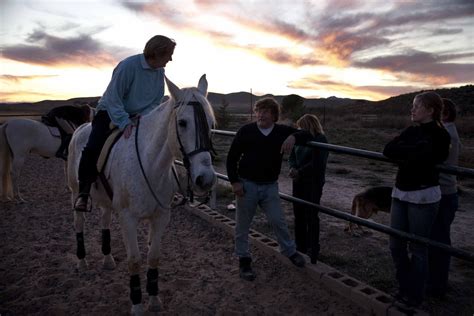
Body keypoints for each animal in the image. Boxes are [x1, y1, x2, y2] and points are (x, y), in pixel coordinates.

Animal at [67, 74, 218, 314]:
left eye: (211, 125)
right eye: (182, 123)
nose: (206, 179)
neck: (150, 164)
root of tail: (81, 128)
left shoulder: (161, 217)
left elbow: (153, 257)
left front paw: (154, 300)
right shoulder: (128, 219)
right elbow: (135, 260)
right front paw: (137, 305)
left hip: (106, 202)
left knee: (104, 221)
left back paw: (107, 258)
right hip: (75, 192)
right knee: (78, 222)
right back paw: (81, 262)